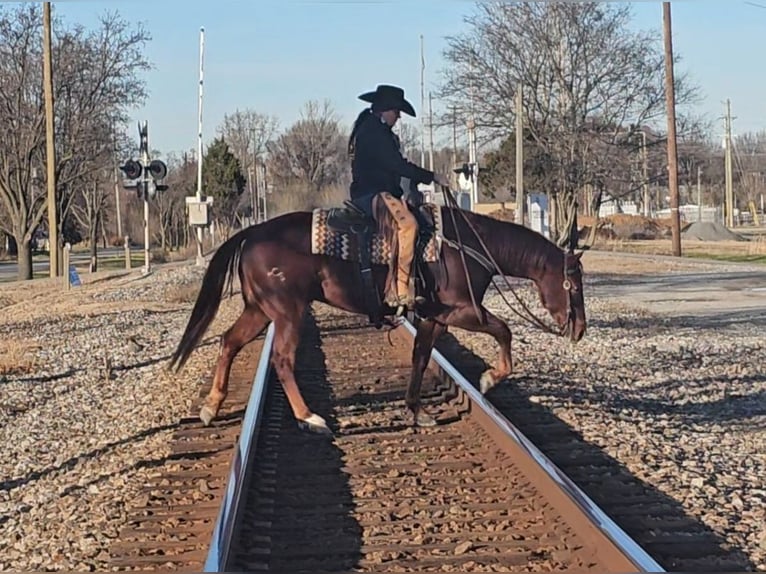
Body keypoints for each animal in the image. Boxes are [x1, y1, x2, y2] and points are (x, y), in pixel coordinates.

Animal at [170, 200, 588, 434]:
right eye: (573, 282)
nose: (579, 329)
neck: (467, 246)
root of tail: (253, 232)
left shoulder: (434, 317)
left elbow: (420, 357)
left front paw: (417, 411)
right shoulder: (461, 310)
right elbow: (503, 330)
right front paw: (489, 378)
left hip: (260, 309)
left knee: (229, 342)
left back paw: (211, 406)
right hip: (288, 312)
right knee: (282, 360)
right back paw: (310, 418)